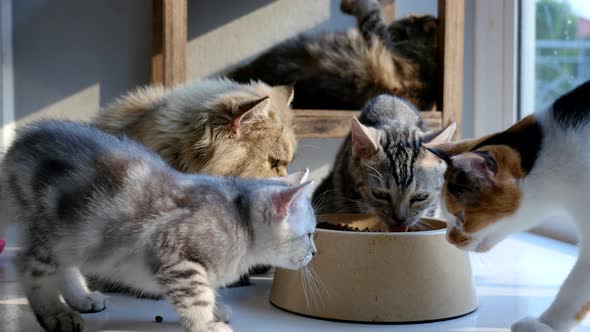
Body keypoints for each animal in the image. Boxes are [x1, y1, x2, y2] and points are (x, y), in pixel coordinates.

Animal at [1, 120, 320, 332]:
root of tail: (21, 141)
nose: (315, 253)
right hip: (55, 230)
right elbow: (196, 295)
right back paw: (55, 314)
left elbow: (207, 289)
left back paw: (81, 297)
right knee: (30, 267)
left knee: (65, 266)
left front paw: (215, 309)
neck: (238, 220)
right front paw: (206, 324)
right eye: (308, 234)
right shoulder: (176, 254)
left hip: (75, 236)